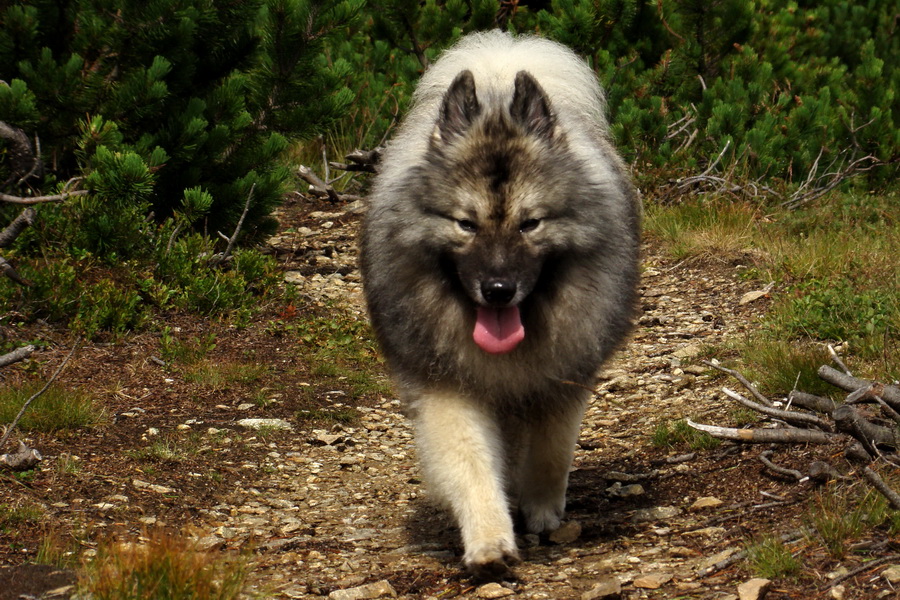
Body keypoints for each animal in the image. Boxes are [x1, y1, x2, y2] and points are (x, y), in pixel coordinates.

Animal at [358, 30, 640, 580]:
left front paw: (543, 511)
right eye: (466, 224)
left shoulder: (561, 377)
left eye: (530, 223)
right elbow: (471, 461)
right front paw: (490, 540)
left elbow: (551, 452)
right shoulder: (448, 384)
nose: (498, 289)